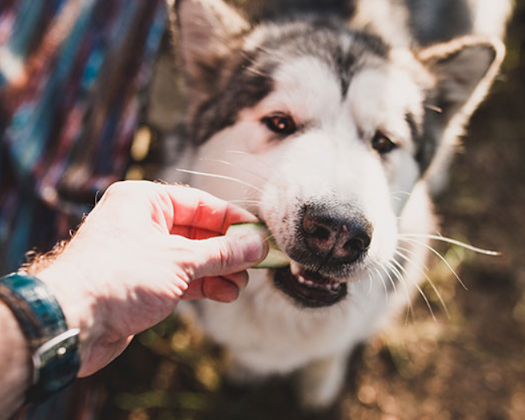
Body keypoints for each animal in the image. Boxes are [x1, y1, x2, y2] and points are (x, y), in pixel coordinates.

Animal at [154, 0, 510, 408]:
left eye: (383, 142)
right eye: (279, 123)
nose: (340, 230)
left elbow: (330, 354)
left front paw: (319, 385)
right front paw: (245, 369)